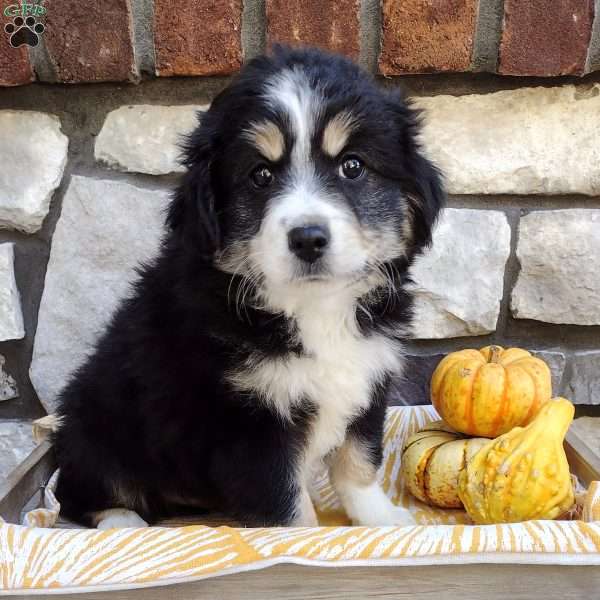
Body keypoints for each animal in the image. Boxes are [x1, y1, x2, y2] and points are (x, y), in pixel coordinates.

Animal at [52, 47, 446, 528]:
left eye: (352, 166)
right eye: (260, 175)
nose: (308, 238)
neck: (313, 309)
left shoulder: (369, 381)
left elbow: (357, 462)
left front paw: (383, 521)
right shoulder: (247, 422)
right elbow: (287, 509)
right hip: (95, 422)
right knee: (79, 491)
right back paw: (123, 522)